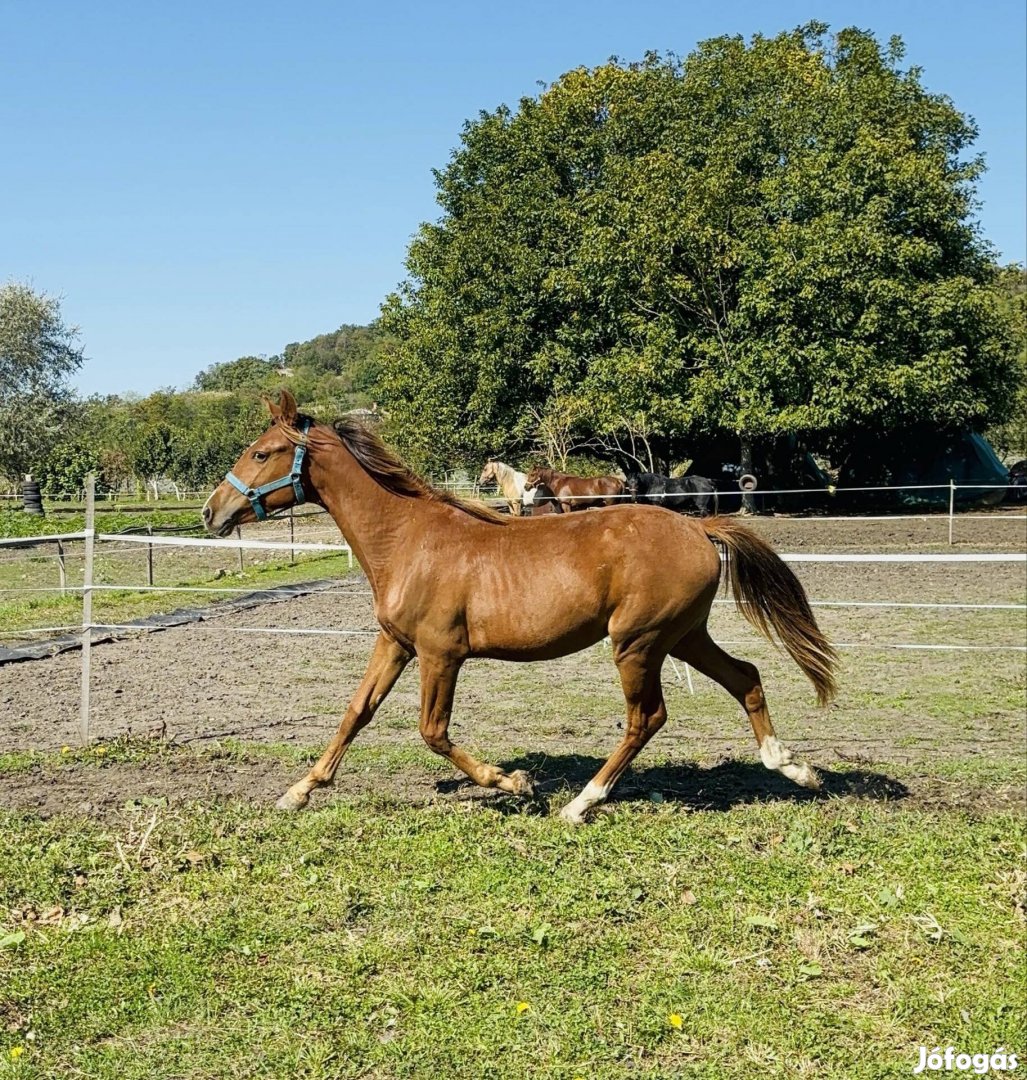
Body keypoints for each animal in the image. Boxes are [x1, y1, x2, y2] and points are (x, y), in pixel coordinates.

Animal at [207, 393, 833, 820]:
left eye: (262, 452)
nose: (212, 513)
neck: (407, 540)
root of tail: (699, 527)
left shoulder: (441, 654)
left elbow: (433, 732)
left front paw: (515, 782)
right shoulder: (396, 644)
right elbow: (356, 713)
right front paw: (297, 791)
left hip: (638, 643)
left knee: (647, 717)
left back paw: (581, 803)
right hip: (682, 637)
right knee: (745, 677)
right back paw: (796, 770)